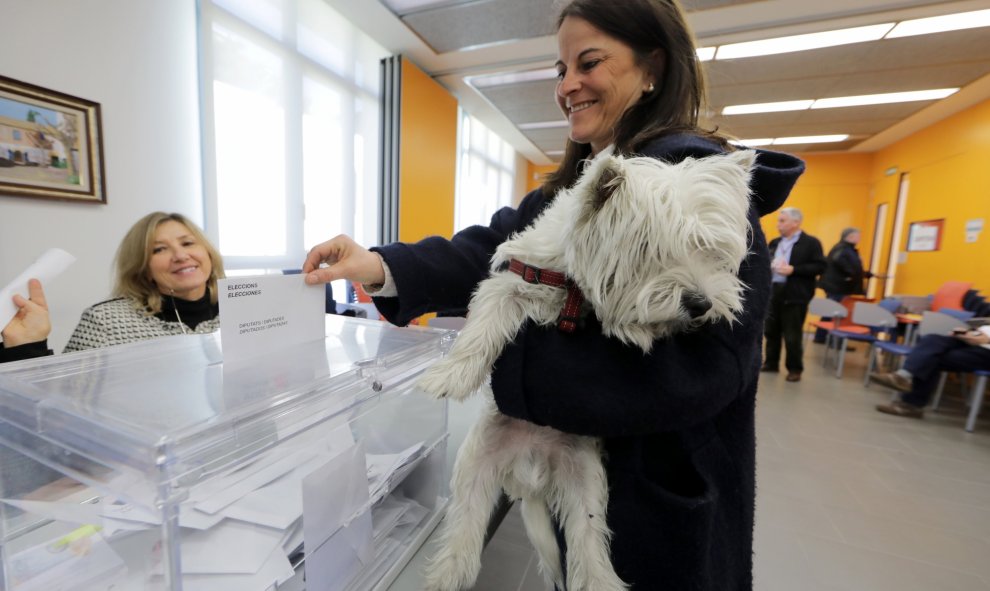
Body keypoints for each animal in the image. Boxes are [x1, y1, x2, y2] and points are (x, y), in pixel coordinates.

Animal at [420, 148, 760, 591]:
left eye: (709, 250)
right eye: (650, 249)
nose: (701, 304)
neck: (571, 286)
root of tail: (530, 473)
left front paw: (636, 327)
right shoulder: (510, 283)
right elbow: (484, 324)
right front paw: (450, 374)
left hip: (586, 482)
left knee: (588, 536)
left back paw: (600, 580)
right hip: (476, 464)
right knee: (466, 519)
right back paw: (446, 573)